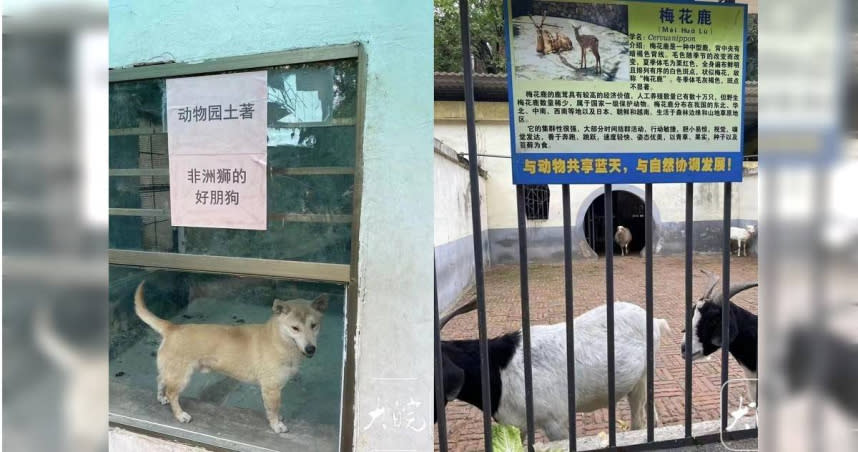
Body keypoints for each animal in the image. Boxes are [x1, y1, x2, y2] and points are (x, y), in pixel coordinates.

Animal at [434, 298, 668, 440]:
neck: (498, 370)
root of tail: (655, 321)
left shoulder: (555, 422)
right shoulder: (517, 424)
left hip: (642, 375)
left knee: (638, 418)